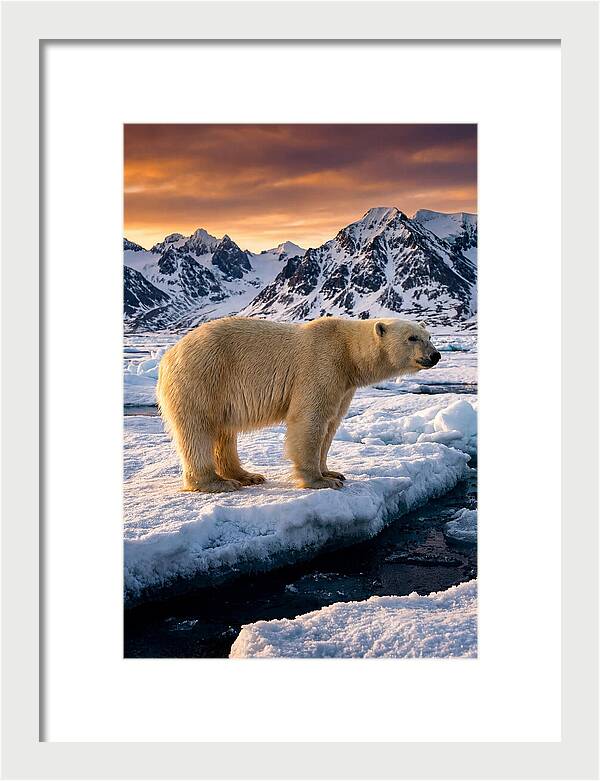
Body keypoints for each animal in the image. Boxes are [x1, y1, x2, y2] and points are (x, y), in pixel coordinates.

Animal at [157, 316, 441, 492]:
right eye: (412, 338)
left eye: (428, 336)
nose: (435, 355)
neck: (348, 352)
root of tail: (168, 355)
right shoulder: (321, 364)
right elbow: (310, 420)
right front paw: (320, 481)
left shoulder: (344, 385)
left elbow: (331, 424)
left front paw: (332, 472)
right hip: (203, 377)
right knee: (198, 429)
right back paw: (216, 482)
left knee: (224, 432)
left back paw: (246, 475)